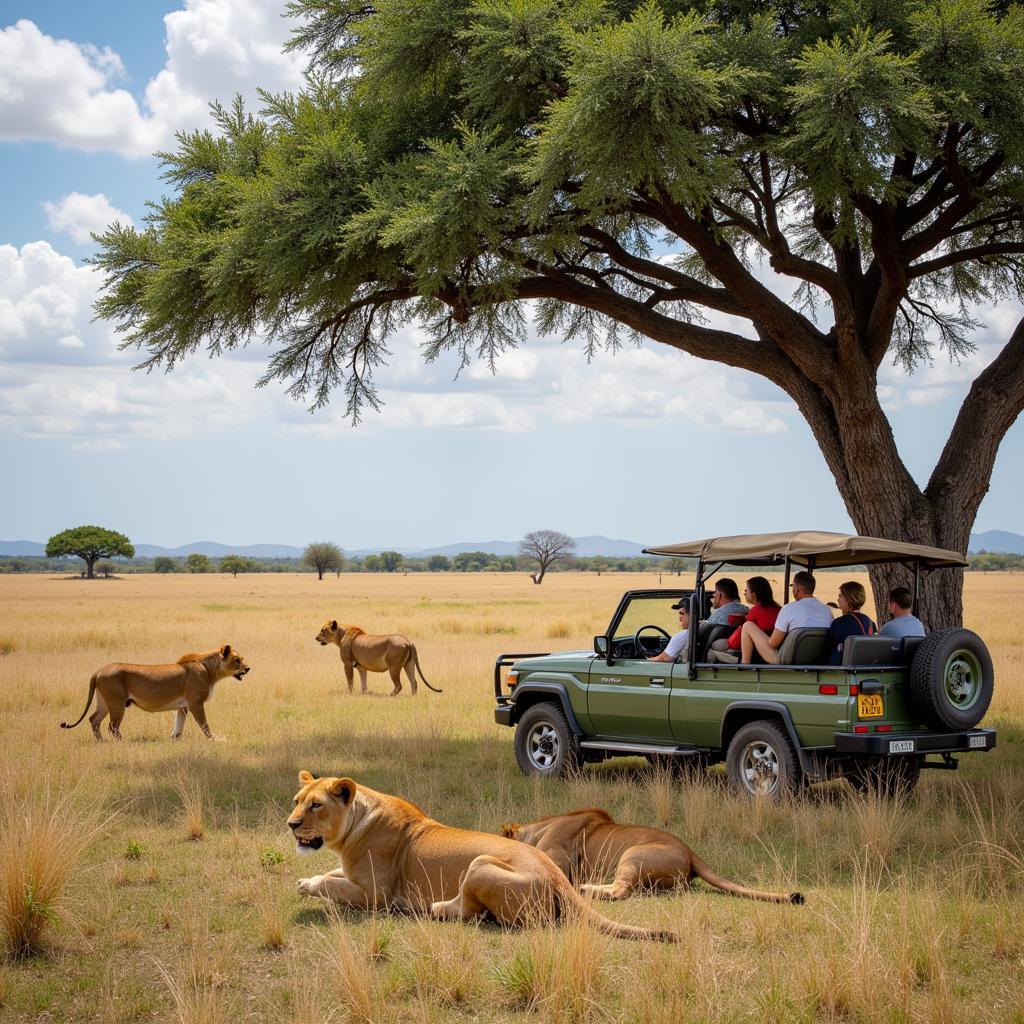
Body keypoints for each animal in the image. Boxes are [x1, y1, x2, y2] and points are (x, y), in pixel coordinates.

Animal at [60, 643, 250, 741]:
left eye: (242, 659)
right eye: (237, 660)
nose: (248, 668)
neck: (210, 670)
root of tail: (98, 671)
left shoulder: (183, 706)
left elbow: (178, 725)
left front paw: (175, 740)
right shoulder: (196, 703)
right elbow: (204, 724)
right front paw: (214, 739)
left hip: (105, 703)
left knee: (94, 720)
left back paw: (101, 742)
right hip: (117, 704)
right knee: (112, 726)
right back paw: (122, 743)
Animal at [288, 770, 675, 937]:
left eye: (316, 805)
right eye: (296, 801)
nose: (291, 824)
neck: (352, 828)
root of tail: (557, 877)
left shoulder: (375, 895)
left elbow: (332, 884)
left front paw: (308, 885)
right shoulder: (353, 874)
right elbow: (332, 875)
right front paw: (307, 879)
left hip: (479, 864)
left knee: (472, 913)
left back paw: (436, 908)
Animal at [311, 614, 440, 696]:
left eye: (322, 630)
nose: (316, 638)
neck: (341, 635)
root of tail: (408, 640)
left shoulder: (347, 663)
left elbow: (350, 680)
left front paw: (349, 694)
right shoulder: (361, 667)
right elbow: (363, 682)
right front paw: (364, 694)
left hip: (394, 666)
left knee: (399, 685)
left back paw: (389, 696)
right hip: (409, 663)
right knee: (414, 682)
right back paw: (413, 697)